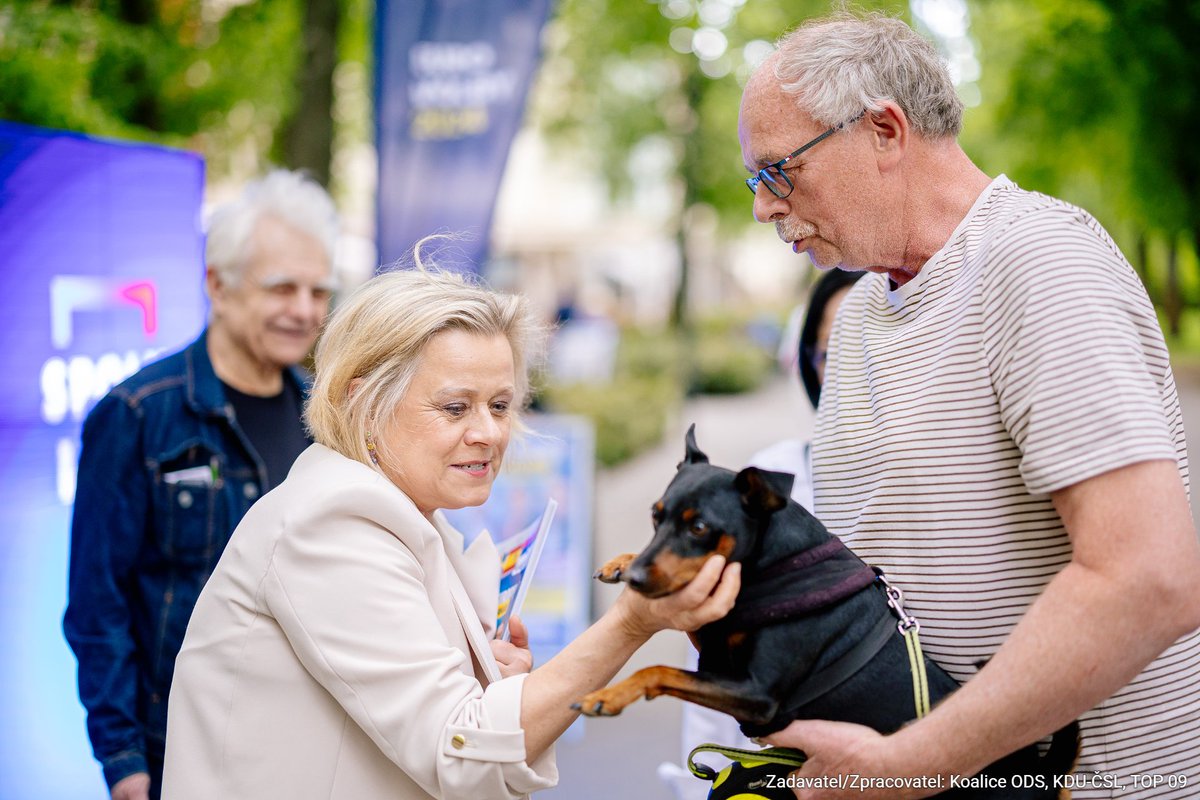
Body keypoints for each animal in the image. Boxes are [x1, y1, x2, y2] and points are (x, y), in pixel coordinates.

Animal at [571, 429, 1080, 796]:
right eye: (655, 517)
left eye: (698, 528)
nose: (637, 579)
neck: (772, 563)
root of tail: (1038, 774)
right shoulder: (718, 651)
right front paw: (620, 562)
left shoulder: (757, 693)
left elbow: (657, 670)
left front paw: (607, 696)